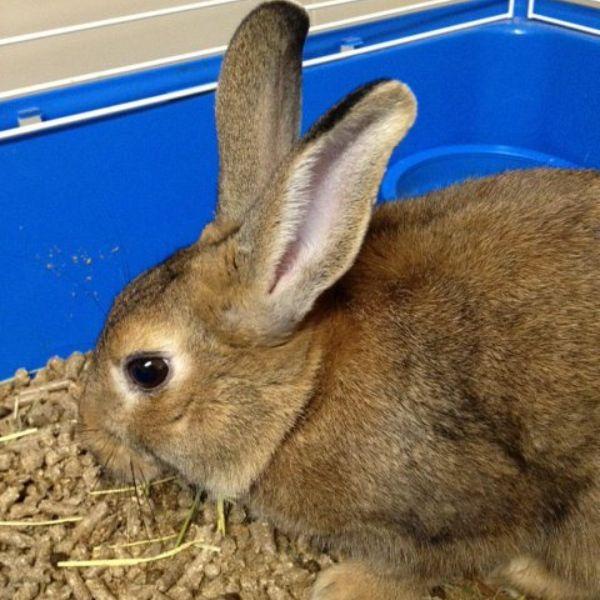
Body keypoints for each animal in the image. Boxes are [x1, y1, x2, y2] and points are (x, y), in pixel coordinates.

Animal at [79, 2, 600, 596]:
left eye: (146, 370)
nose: (90, 434)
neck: (305, 395)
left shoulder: (475, 510)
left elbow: (434, 560)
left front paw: (341, 584)